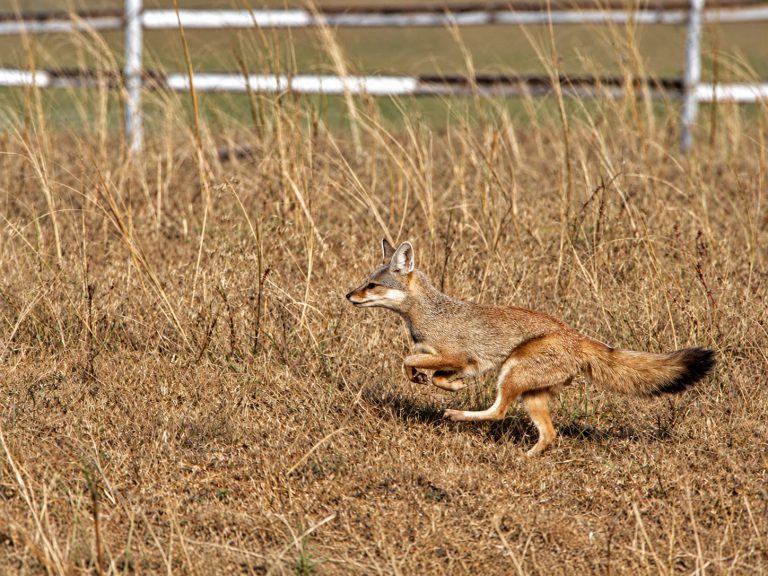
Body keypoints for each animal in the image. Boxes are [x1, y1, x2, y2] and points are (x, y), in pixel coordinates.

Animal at [346, 239, 716, 456]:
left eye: (371, 285)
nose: (348, 295)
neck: (429, 313)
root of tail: (578, 337)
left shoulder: (457, 355)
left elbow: (407, 359)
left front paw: (427, 379)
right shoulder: (464, 363)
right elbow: (434, 373)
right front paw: (450, 384)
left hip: (511, 376)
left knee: (499, 412)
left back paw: (459, 416)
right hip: (531, 395)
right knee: (549, 434)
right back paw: (527, 458)